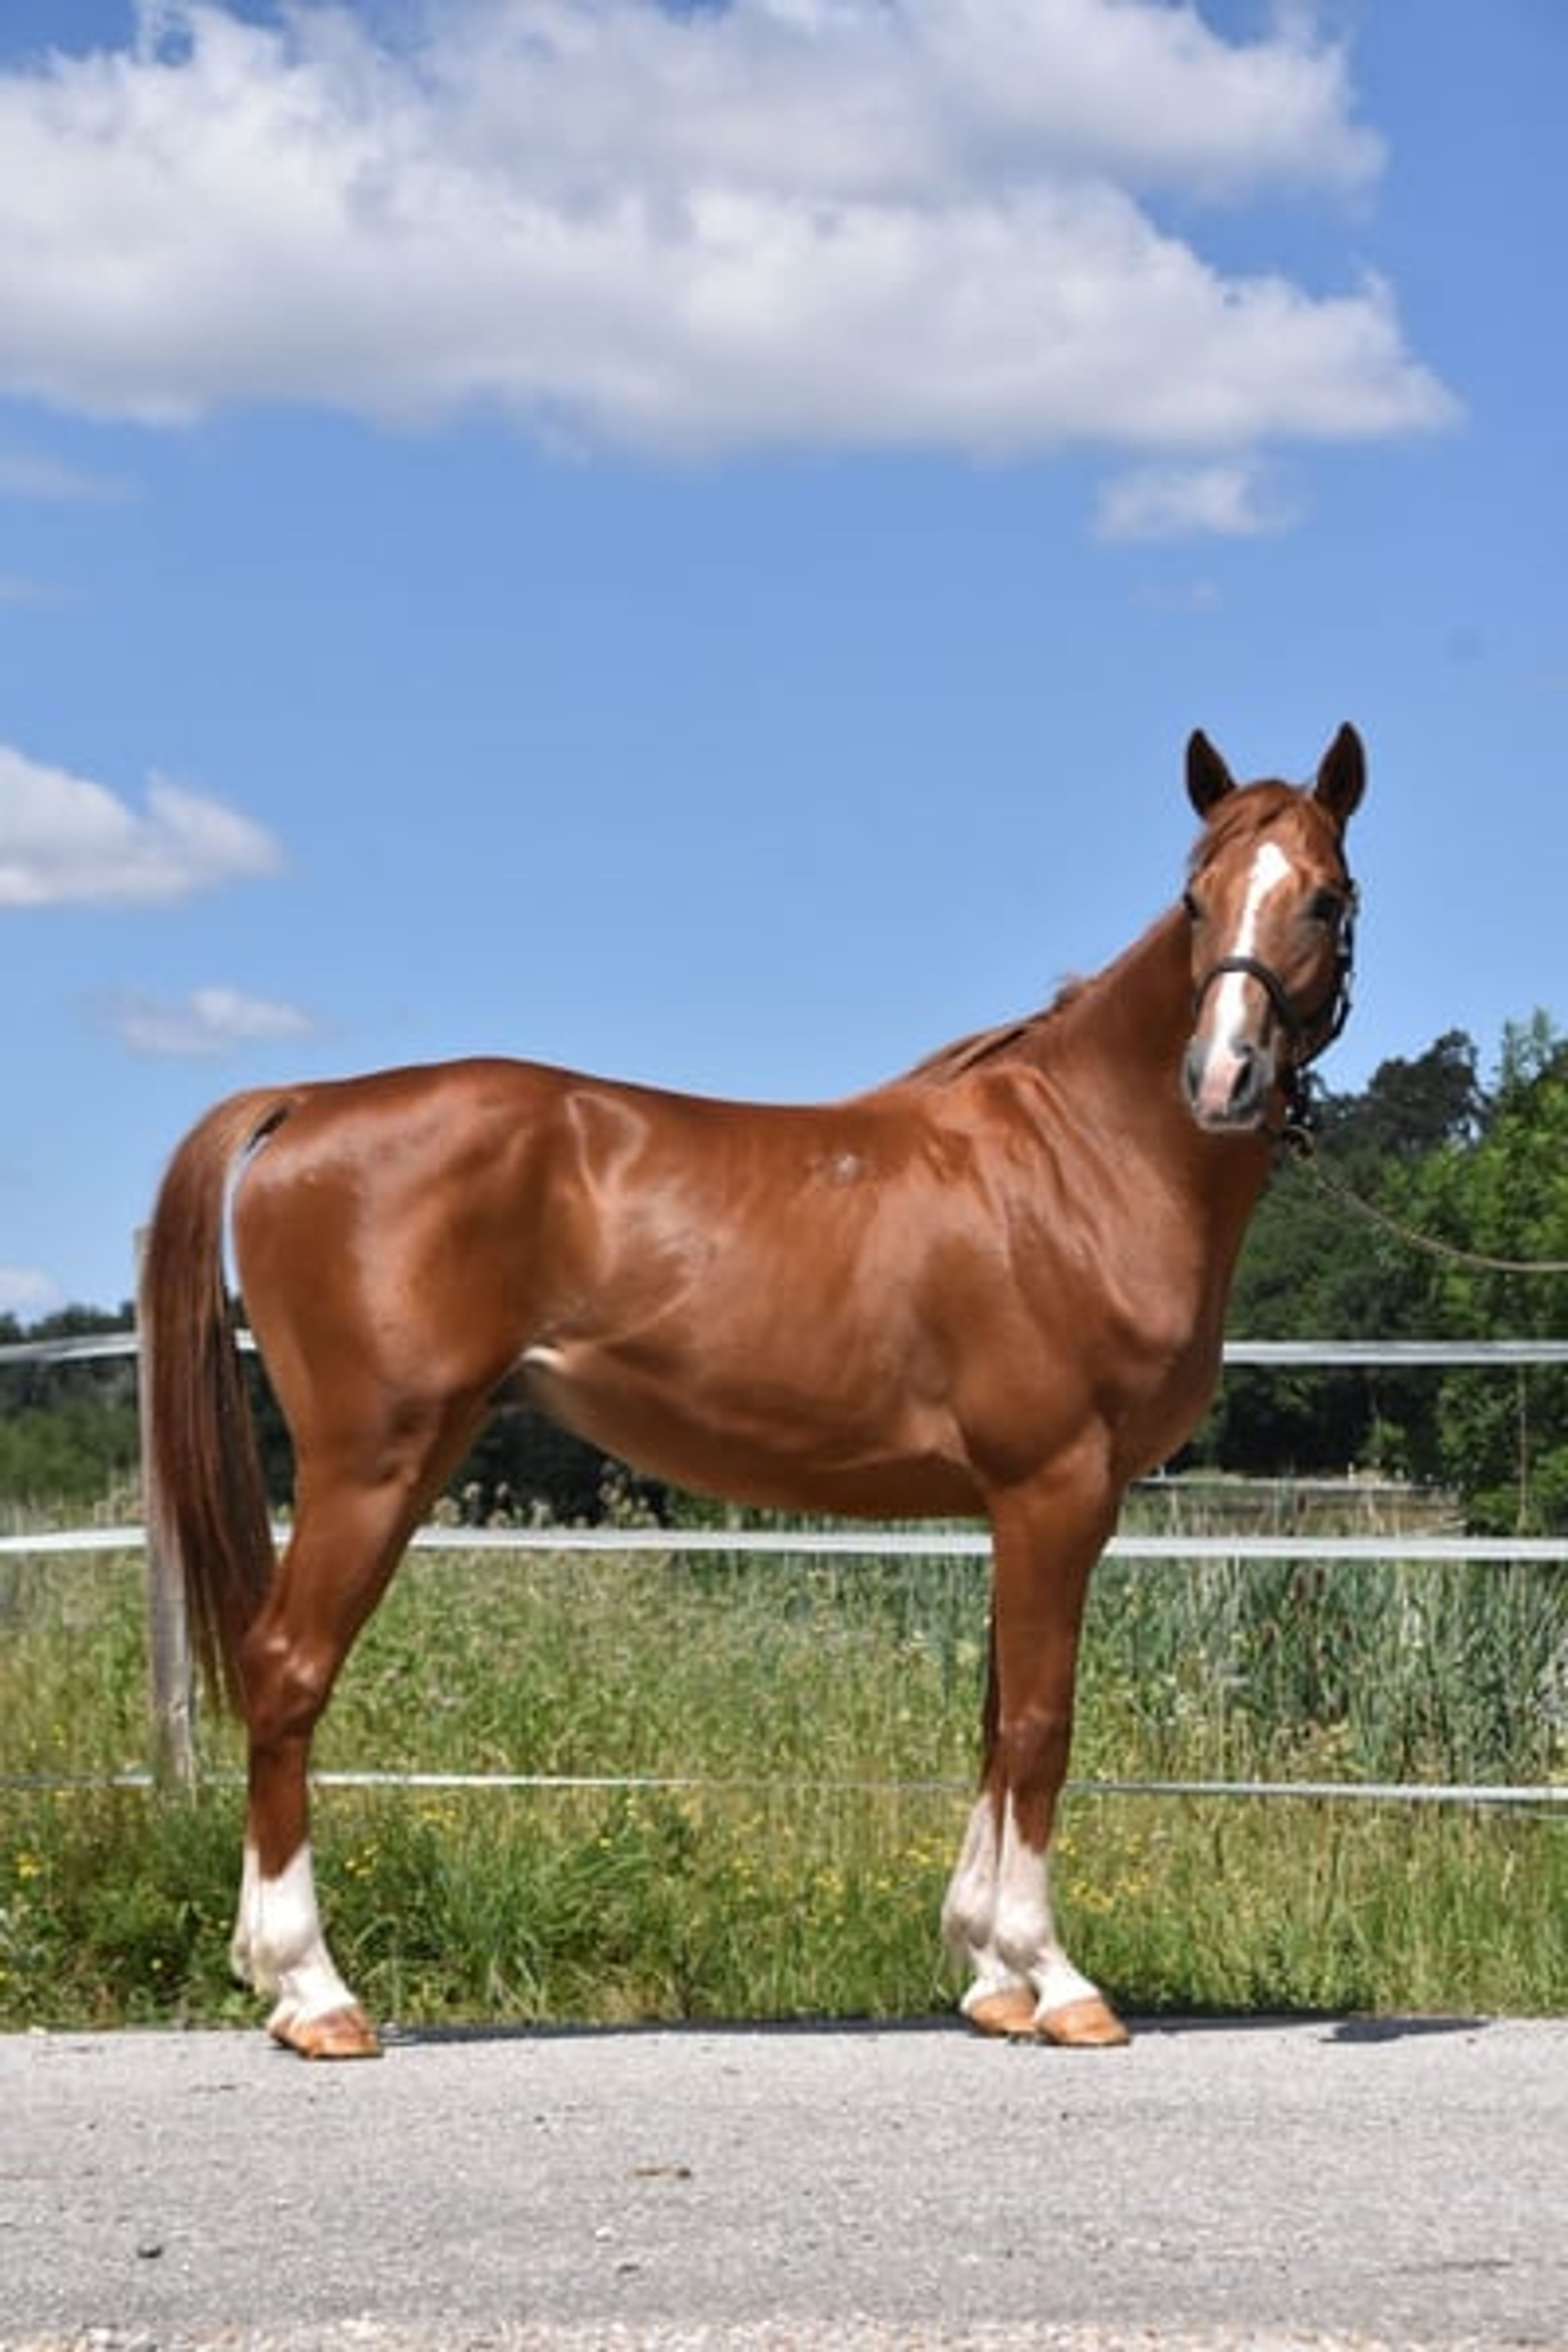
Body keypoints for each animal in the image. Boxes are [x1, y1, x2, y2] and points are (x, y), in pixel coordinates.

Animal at [140, 723, 1365, 2059]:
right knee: (287, 1671)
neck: (1080, 1160)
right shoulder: (1057, 1489)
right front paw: (1057, 1980)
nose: (1222, 1077)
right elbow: (1041, 1726)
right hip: (374, 1465)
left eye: (1322, 896)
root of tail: (310, 1103)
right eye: (1196, 898)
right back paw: (313, 1991)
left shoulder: (1018, 1508)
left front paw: (988, 1973)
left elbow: (994, 1723)